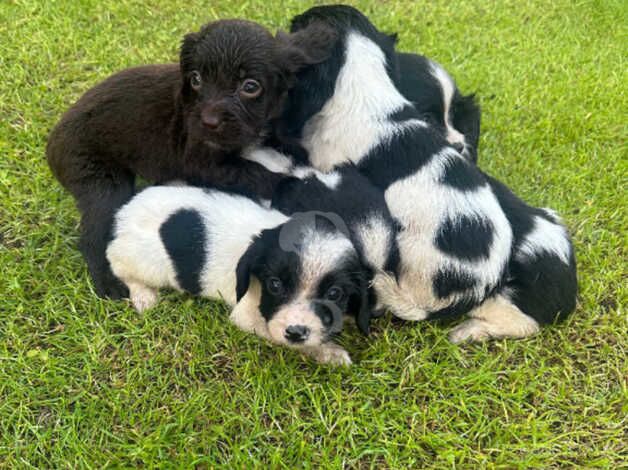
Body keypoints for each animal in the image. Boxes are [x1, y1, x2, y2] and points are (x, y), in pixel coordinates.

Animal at [46, 18, 336, 300]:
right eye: (196, 79)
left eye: (250, 86)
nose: (208, 122)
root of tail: (52, 144)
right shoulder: (202, 162)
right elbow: (250, 172)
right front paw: (290, 183)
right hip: (102, 185)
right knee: (92, 237)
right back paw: (108, 284)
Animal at [107, 185, 372, 366]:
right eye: (275, 285)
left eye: (334, 294)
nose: (296, 332)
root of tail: (123, 213)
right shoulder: (247, 316)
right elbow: (283, 337)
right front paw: (329, 352)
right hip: (147, 262)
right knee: (117, 264)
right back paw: (143, 295)